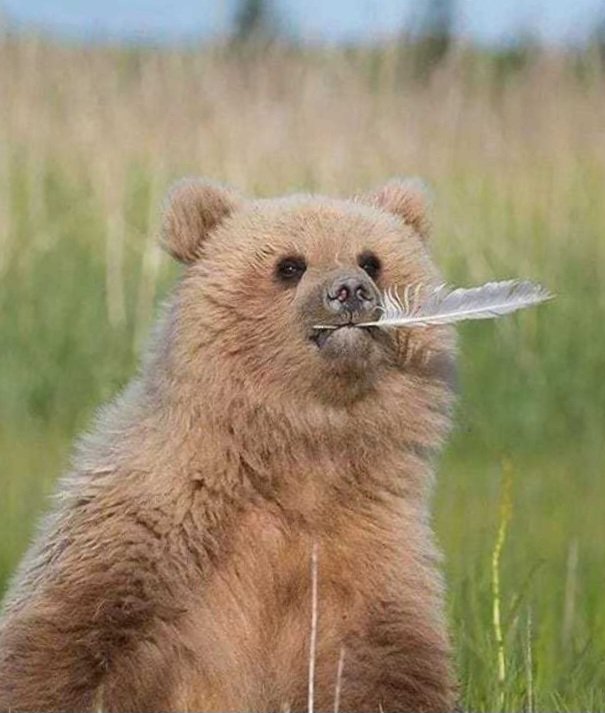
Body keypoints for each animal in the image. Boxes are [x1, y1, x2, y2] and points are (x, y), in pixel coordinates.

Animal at [0, 178, 457, 712]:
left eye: (371, 259)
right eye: (290, 264)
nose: (350, 290)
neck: (300, 447)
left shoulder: (370, 549)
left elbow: (389, 664)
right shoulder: (152, 527)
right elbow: (69, 643)